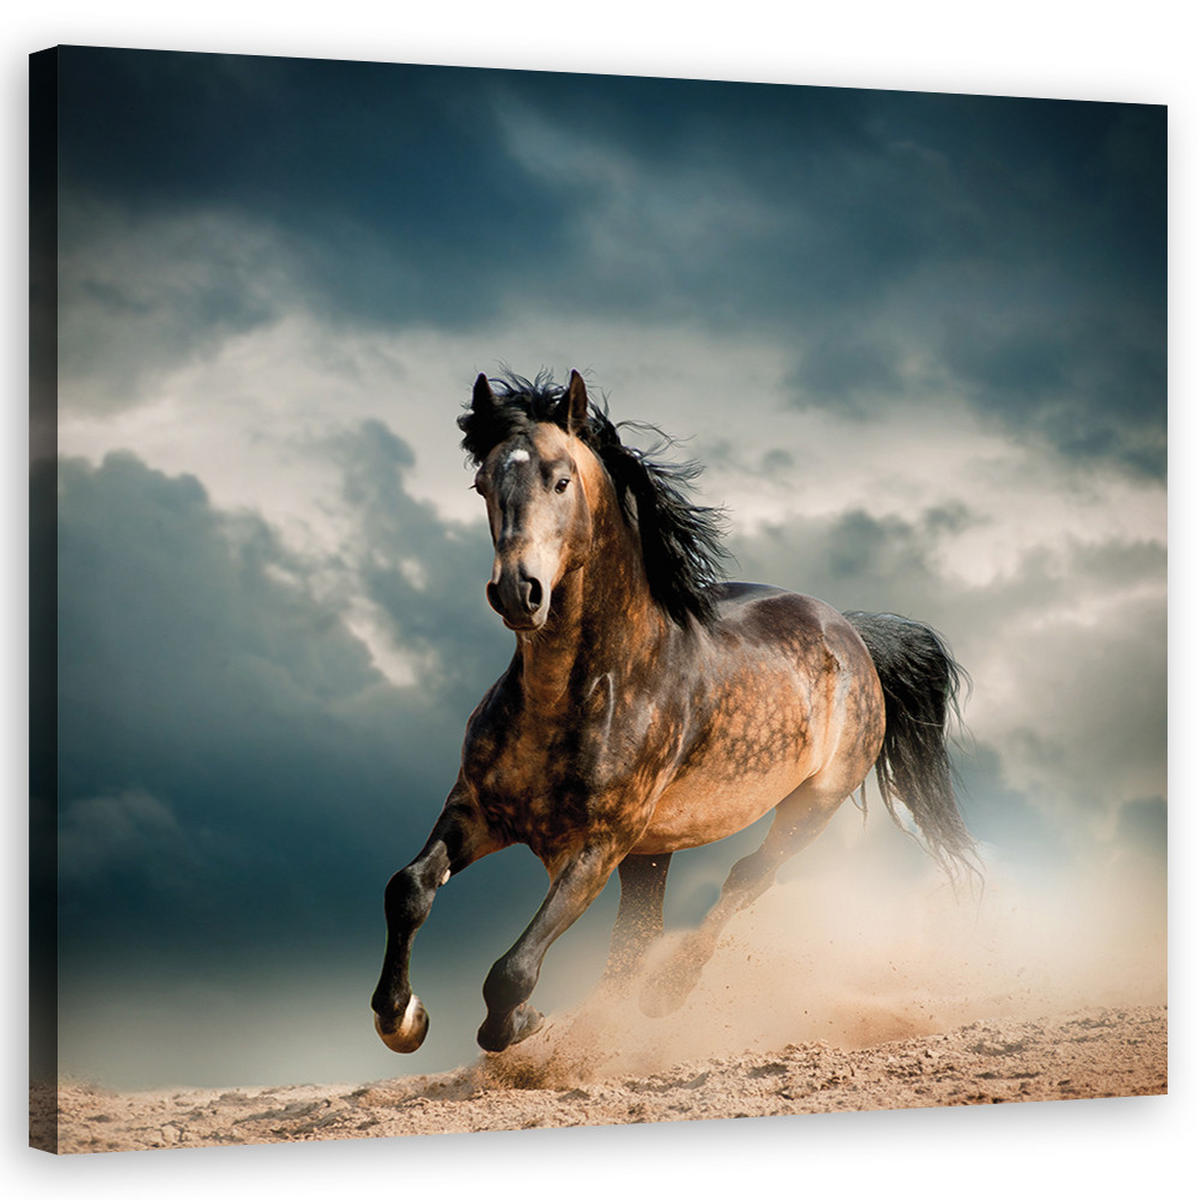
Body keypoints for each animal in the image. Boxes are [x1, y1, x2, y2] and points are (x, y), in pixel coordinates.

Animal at [371, 369, 975, 1055]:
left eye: (561, 480)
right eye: (482, 484)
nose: (518, 592)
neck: (575, 695)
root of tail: (852, 633)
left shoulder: (597, 846)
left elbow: (513, 970)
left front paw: (520, 1023)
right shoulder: (477, 809)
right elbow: (408, 890)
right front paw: (402, 1018)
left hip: (809, 807)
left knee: (744, 880)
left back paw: (667, 993)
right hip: (652, 851)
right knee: (636, 939)